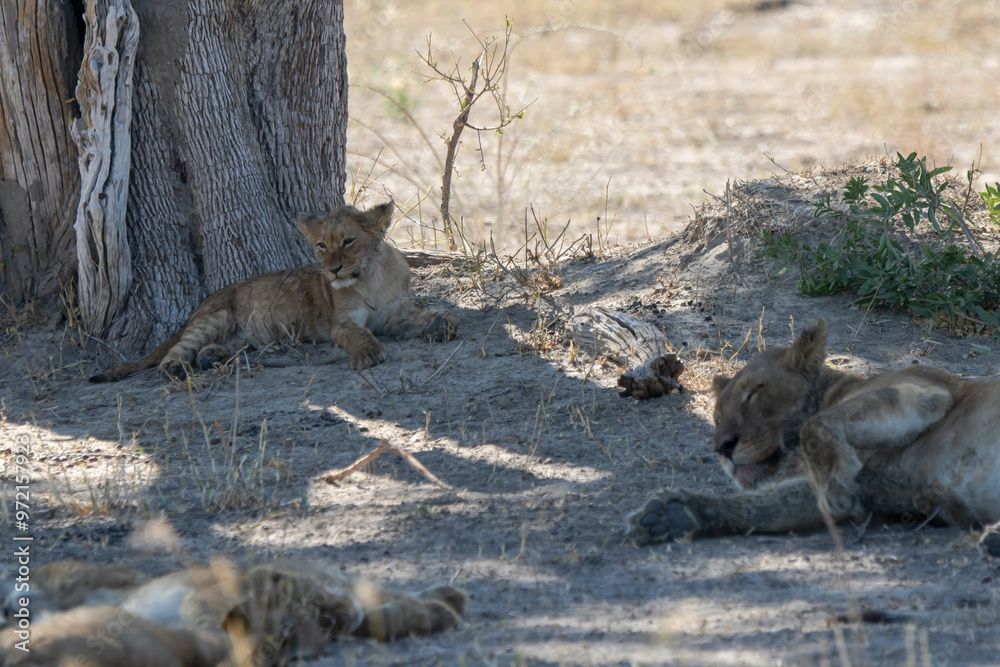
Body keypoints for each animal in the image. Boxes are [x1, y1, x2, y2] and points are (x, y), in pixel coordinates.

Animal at [89, 201, 457, 382]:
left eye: (348, 241)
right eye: (321, 245)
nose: (332, 270)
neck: (371, 275)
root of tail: (198, 306)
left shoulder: (394, 314)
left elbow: (420, 316)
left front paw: (441, 323)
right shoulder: (342, 323)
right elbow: (358, 336)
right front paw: (368, 354)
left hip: (250, 334)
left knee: (230, 345)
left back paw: (212, 356)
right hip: (215, 316)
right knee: (179, 347)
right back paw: (176, 368)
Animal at [626, 319, 1000, 556]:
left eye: (754, 394)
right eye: (717, 417)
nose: (722, 448)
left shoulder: (926, 390)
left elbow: (814, 426)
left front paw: (835, 490)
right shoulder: (864, 485)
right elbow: (761, 506)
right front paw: (671, 513)